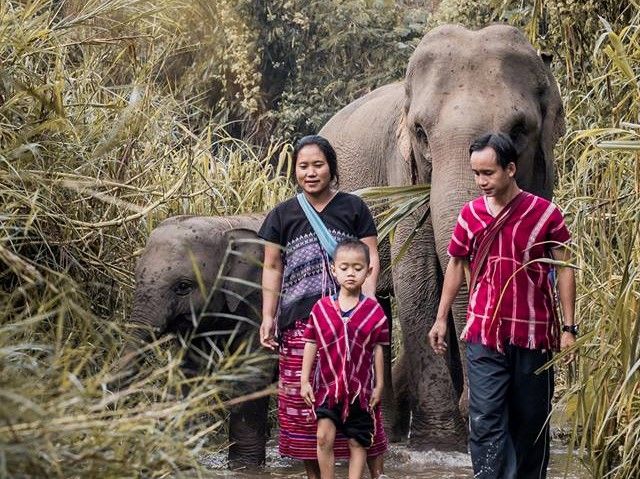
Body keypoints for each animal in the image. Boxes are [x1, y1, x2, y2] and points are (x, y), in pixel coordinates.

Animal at [116, 214, 277, 466]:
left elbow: (252, 371)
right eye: (136, 278)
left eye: (183, 286)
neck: (226, 225)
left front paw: (243, 466)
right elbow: (190, 371)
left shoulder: (260, 297)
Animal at [320, 24, 565, 450]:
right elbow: (417, 279)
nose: (472, 403)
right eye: (420, 131)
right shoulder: (403, 173)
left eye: (520, 130)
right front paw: (439, 442)